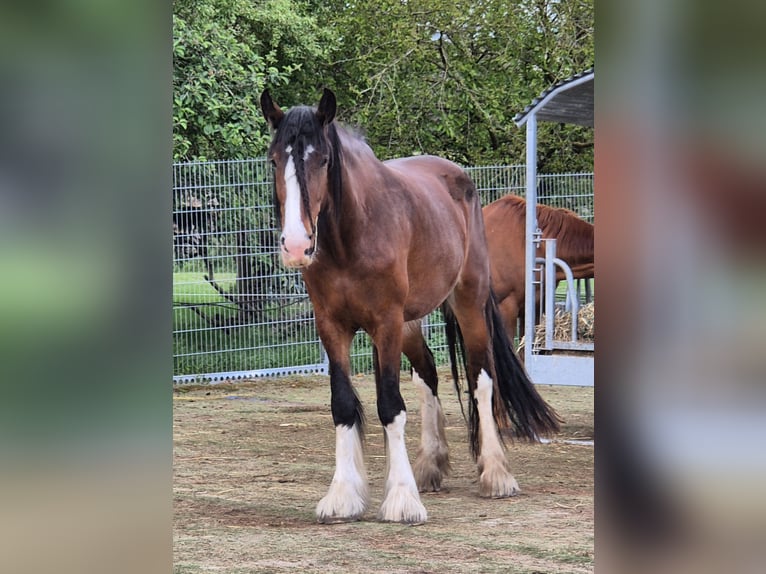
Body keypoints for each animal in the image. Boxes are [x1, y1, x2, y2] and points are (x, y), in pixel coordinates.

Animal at [260, 88, 560, 525]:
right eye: (274, 159)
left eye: (324, 160)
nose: (297, 246)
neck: (352, 235)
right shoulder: (332, 326)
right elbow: (343, 404)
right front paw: (344, 495)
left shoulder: (385, 323)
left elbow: (390, 405)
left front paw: (402, 499)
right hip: (409, 323)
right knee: (428, 374)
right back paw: (430, 465)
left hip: (467, 304)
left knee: (481, 377)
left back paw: (495, 474)